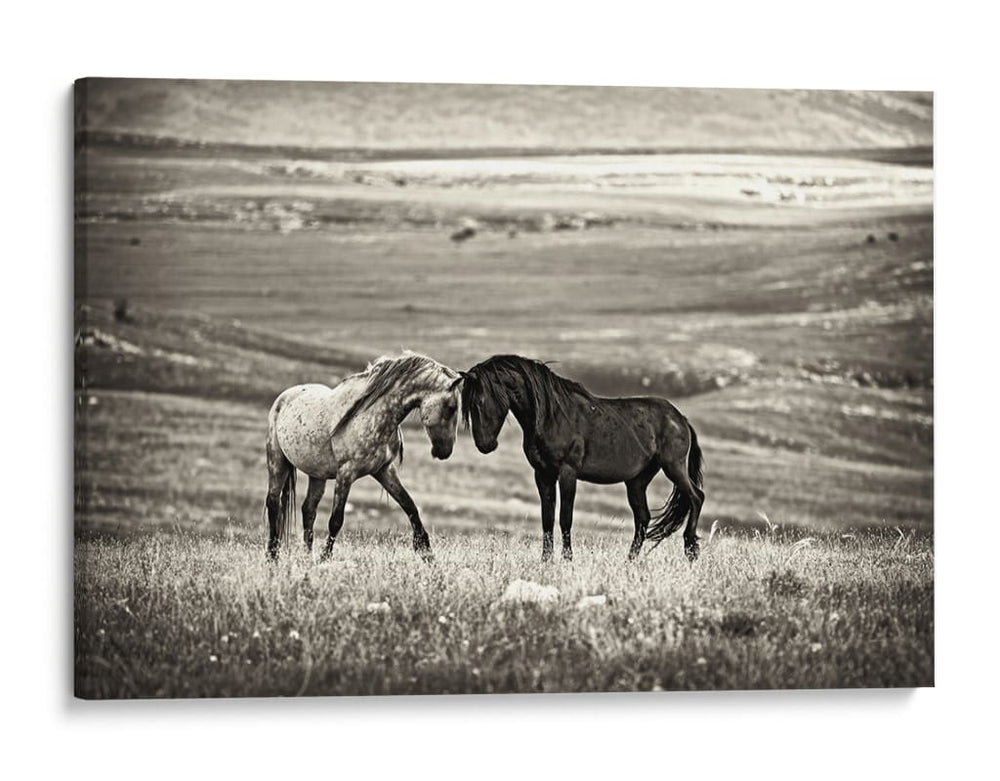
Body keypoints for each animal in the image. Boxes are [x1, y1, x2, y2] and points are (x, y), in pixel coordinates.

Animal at [265, 353, 462, 561]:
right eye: (451, 407)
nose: (445, 451)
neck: (370, 415)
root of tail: (283, 397)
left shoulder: (384, 470)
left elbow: (410, 506)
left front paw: (426, 552)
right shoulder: (346, 473)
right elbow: (336, 520)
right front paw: (325, 558)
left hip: (317, 474)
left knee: (308, 510)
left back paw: (307, 558)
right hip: (277, 462)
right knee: (273, 503)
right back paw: (272, 557)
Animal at [460, 355, 704, 562]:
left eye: (480, 401)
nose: (485, 445)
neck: (551, 416)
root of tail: (680, 418)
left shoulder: (567, 473)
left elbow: (565, 518)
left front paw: (568, 560)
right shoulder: (543, 475)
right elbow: (547, 519)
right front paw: (546, 561)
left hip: (673, 467)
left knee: (696, 497)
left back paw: (691, 549)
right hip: (637, 481)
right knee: (643, 518)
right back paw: (630, 561)